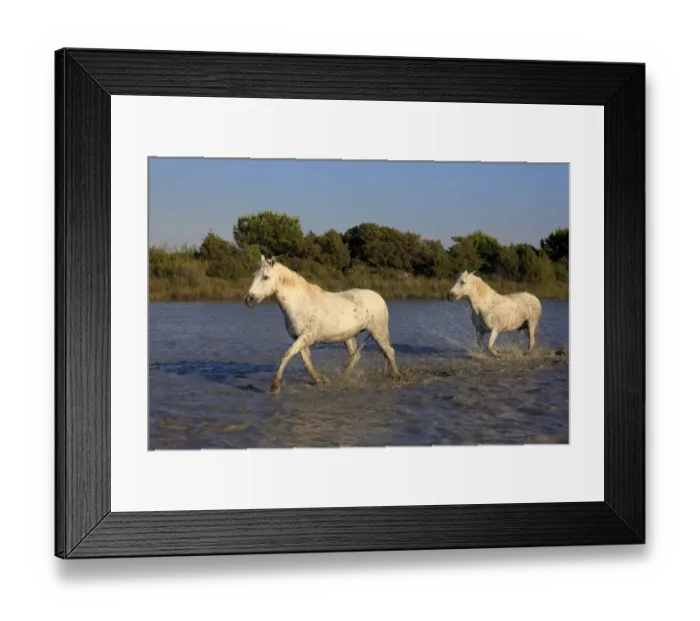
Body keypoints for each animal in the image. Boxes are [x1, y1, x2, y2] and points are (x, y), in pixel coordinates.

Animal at [244, 255, 401, 395]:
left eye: (265, 277)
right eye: (254, 275)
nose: (249, 299)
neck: (300, 303)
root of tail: (380, 298)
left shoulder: (306, 337)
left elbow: (286, 355)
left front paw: (275, 387)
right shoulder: (299, 338)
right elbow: (307, 364)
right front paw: (320, 380)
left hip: (378, 332)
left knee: (390, 352)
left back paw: (397, 377)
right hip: (349, 337)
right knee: (356, 357)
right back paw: (341, 379)